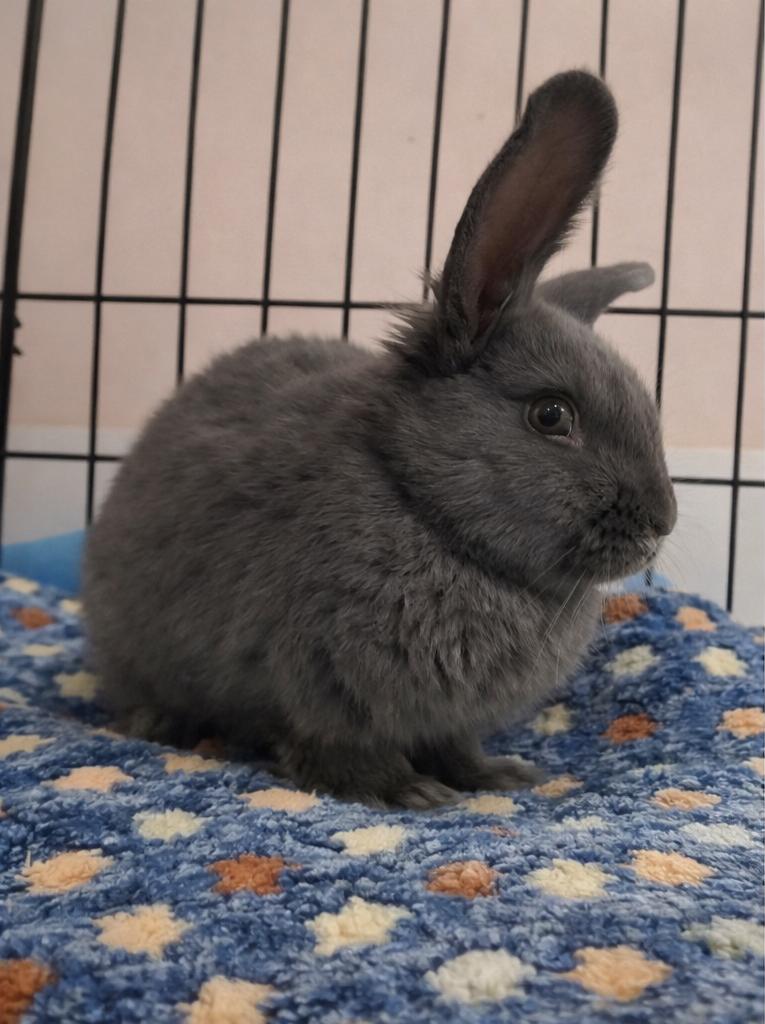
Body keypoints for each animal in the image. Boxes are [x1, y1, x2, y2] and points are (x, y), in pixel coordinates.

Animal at [83, 70, 676, 809]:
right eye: (550, 416)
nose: (662, 522)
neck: (420, 505)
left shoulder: (444, 714)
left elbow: (455, 745)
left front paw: (495, 777)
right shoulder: (322, 684)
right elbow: (343, 750)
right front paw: (409, 794)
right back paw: (157, 723)